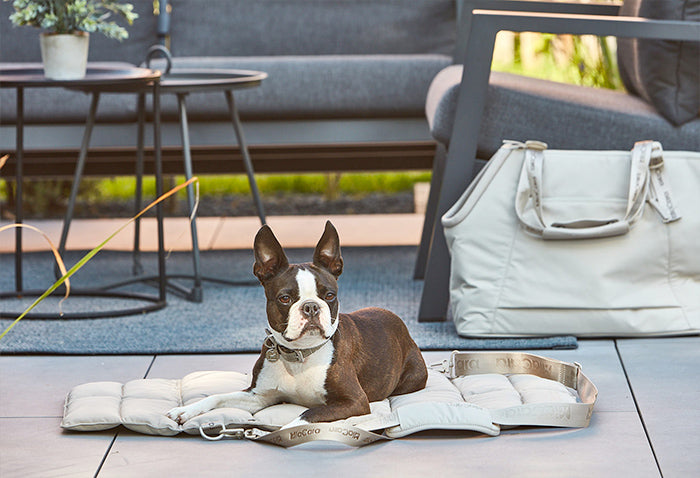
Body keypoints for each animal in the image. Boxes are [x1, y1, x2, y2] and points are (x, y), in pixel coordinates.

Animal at [168, 220, 426, 426]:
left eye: (329, 295)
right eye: (285, 298)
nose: (311, 306)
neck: (301, 355)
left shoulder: (355, 401)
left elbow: (304, 416)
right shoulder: (258, 396)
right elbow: (218, 396)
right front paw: (185, 410)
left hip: (412, 379)